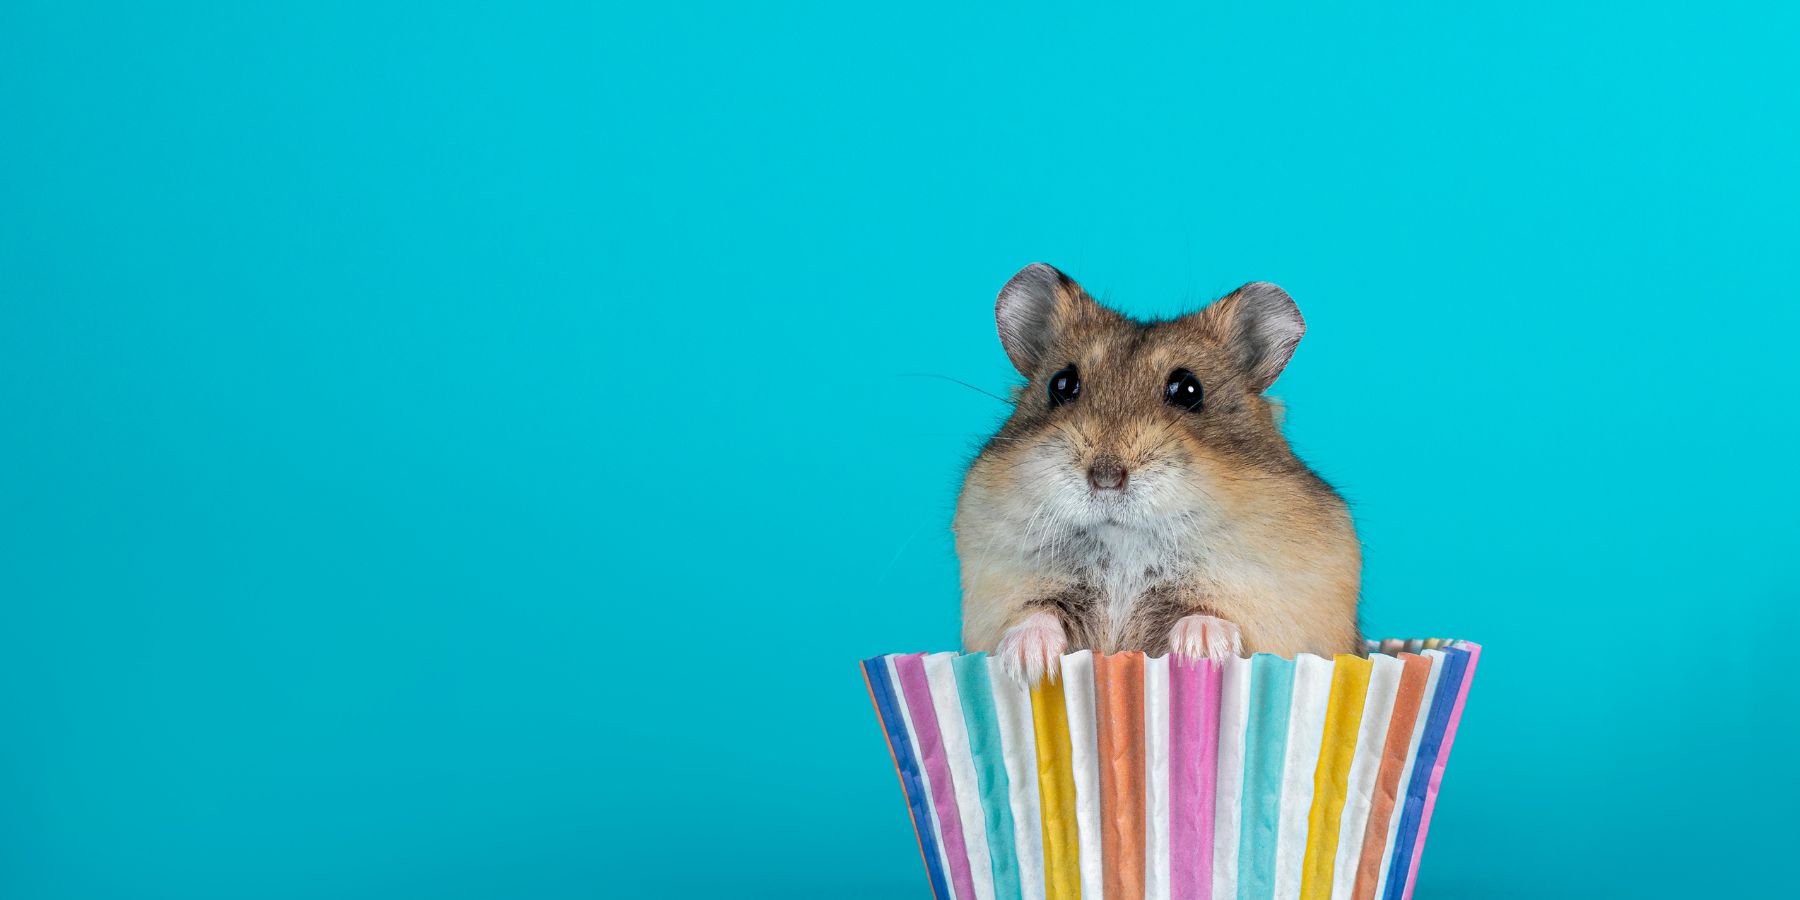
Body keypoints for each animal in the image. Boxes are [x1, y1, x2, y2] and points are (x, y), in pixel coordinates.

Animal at [955, 263, 1362, 683]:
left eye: (1189, 389)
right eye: (1061, 384)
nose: (1105, 477)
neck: (1124, 545)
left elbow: (1207, 614)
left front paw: (1202, 651)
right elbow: (1035, 613)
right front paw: (1026, 664)